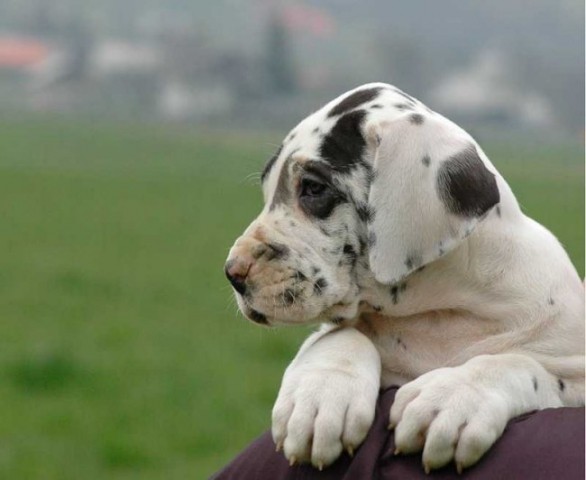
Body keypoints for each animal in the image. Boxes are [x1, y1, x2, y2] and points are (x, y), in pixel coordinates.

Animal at [222, 82, 580, 472]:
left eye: (314, 188)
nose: (232, 272)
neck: (438, 313)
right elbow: (338, 336)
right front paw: (319, 399)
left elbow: (517, 364)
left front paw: (452, 398)